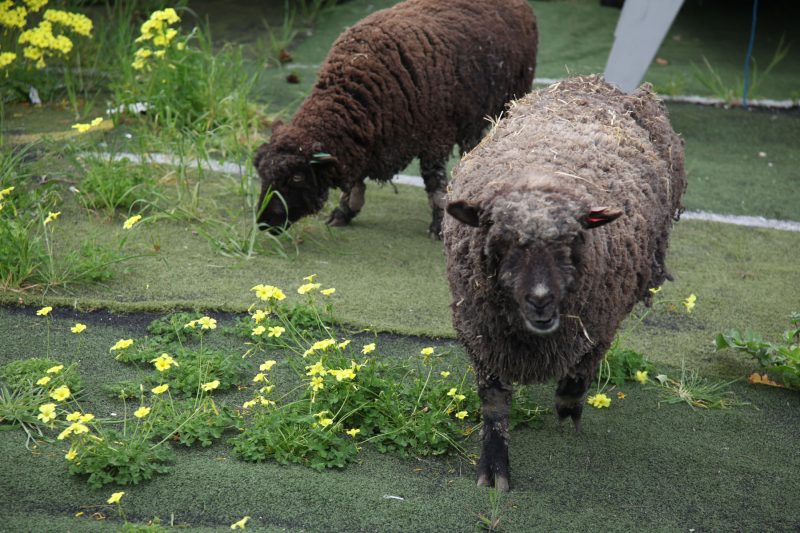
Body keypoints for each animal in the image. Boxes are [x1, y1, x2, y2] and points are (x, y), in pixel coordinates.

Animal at [253, 0, 536, 238]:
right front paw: (345, 211)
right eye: (261, 173)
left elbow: (434, 185)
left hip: (511, 95)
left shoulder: (435, 137)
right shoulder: (365, 142)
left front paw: (438, 226)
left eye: (297, 178)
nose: (264, 223)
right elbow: (356, 181)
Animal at [440, 75, 684, 490]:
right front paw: (494, 468)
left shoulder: (599, 325)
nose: (540, 300)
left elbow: (578, 374)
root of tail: (594, 82)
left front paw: (568, 414)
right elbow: (494, 406)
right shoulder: (484, 337)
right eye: (500, 242)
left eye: (572, 240)